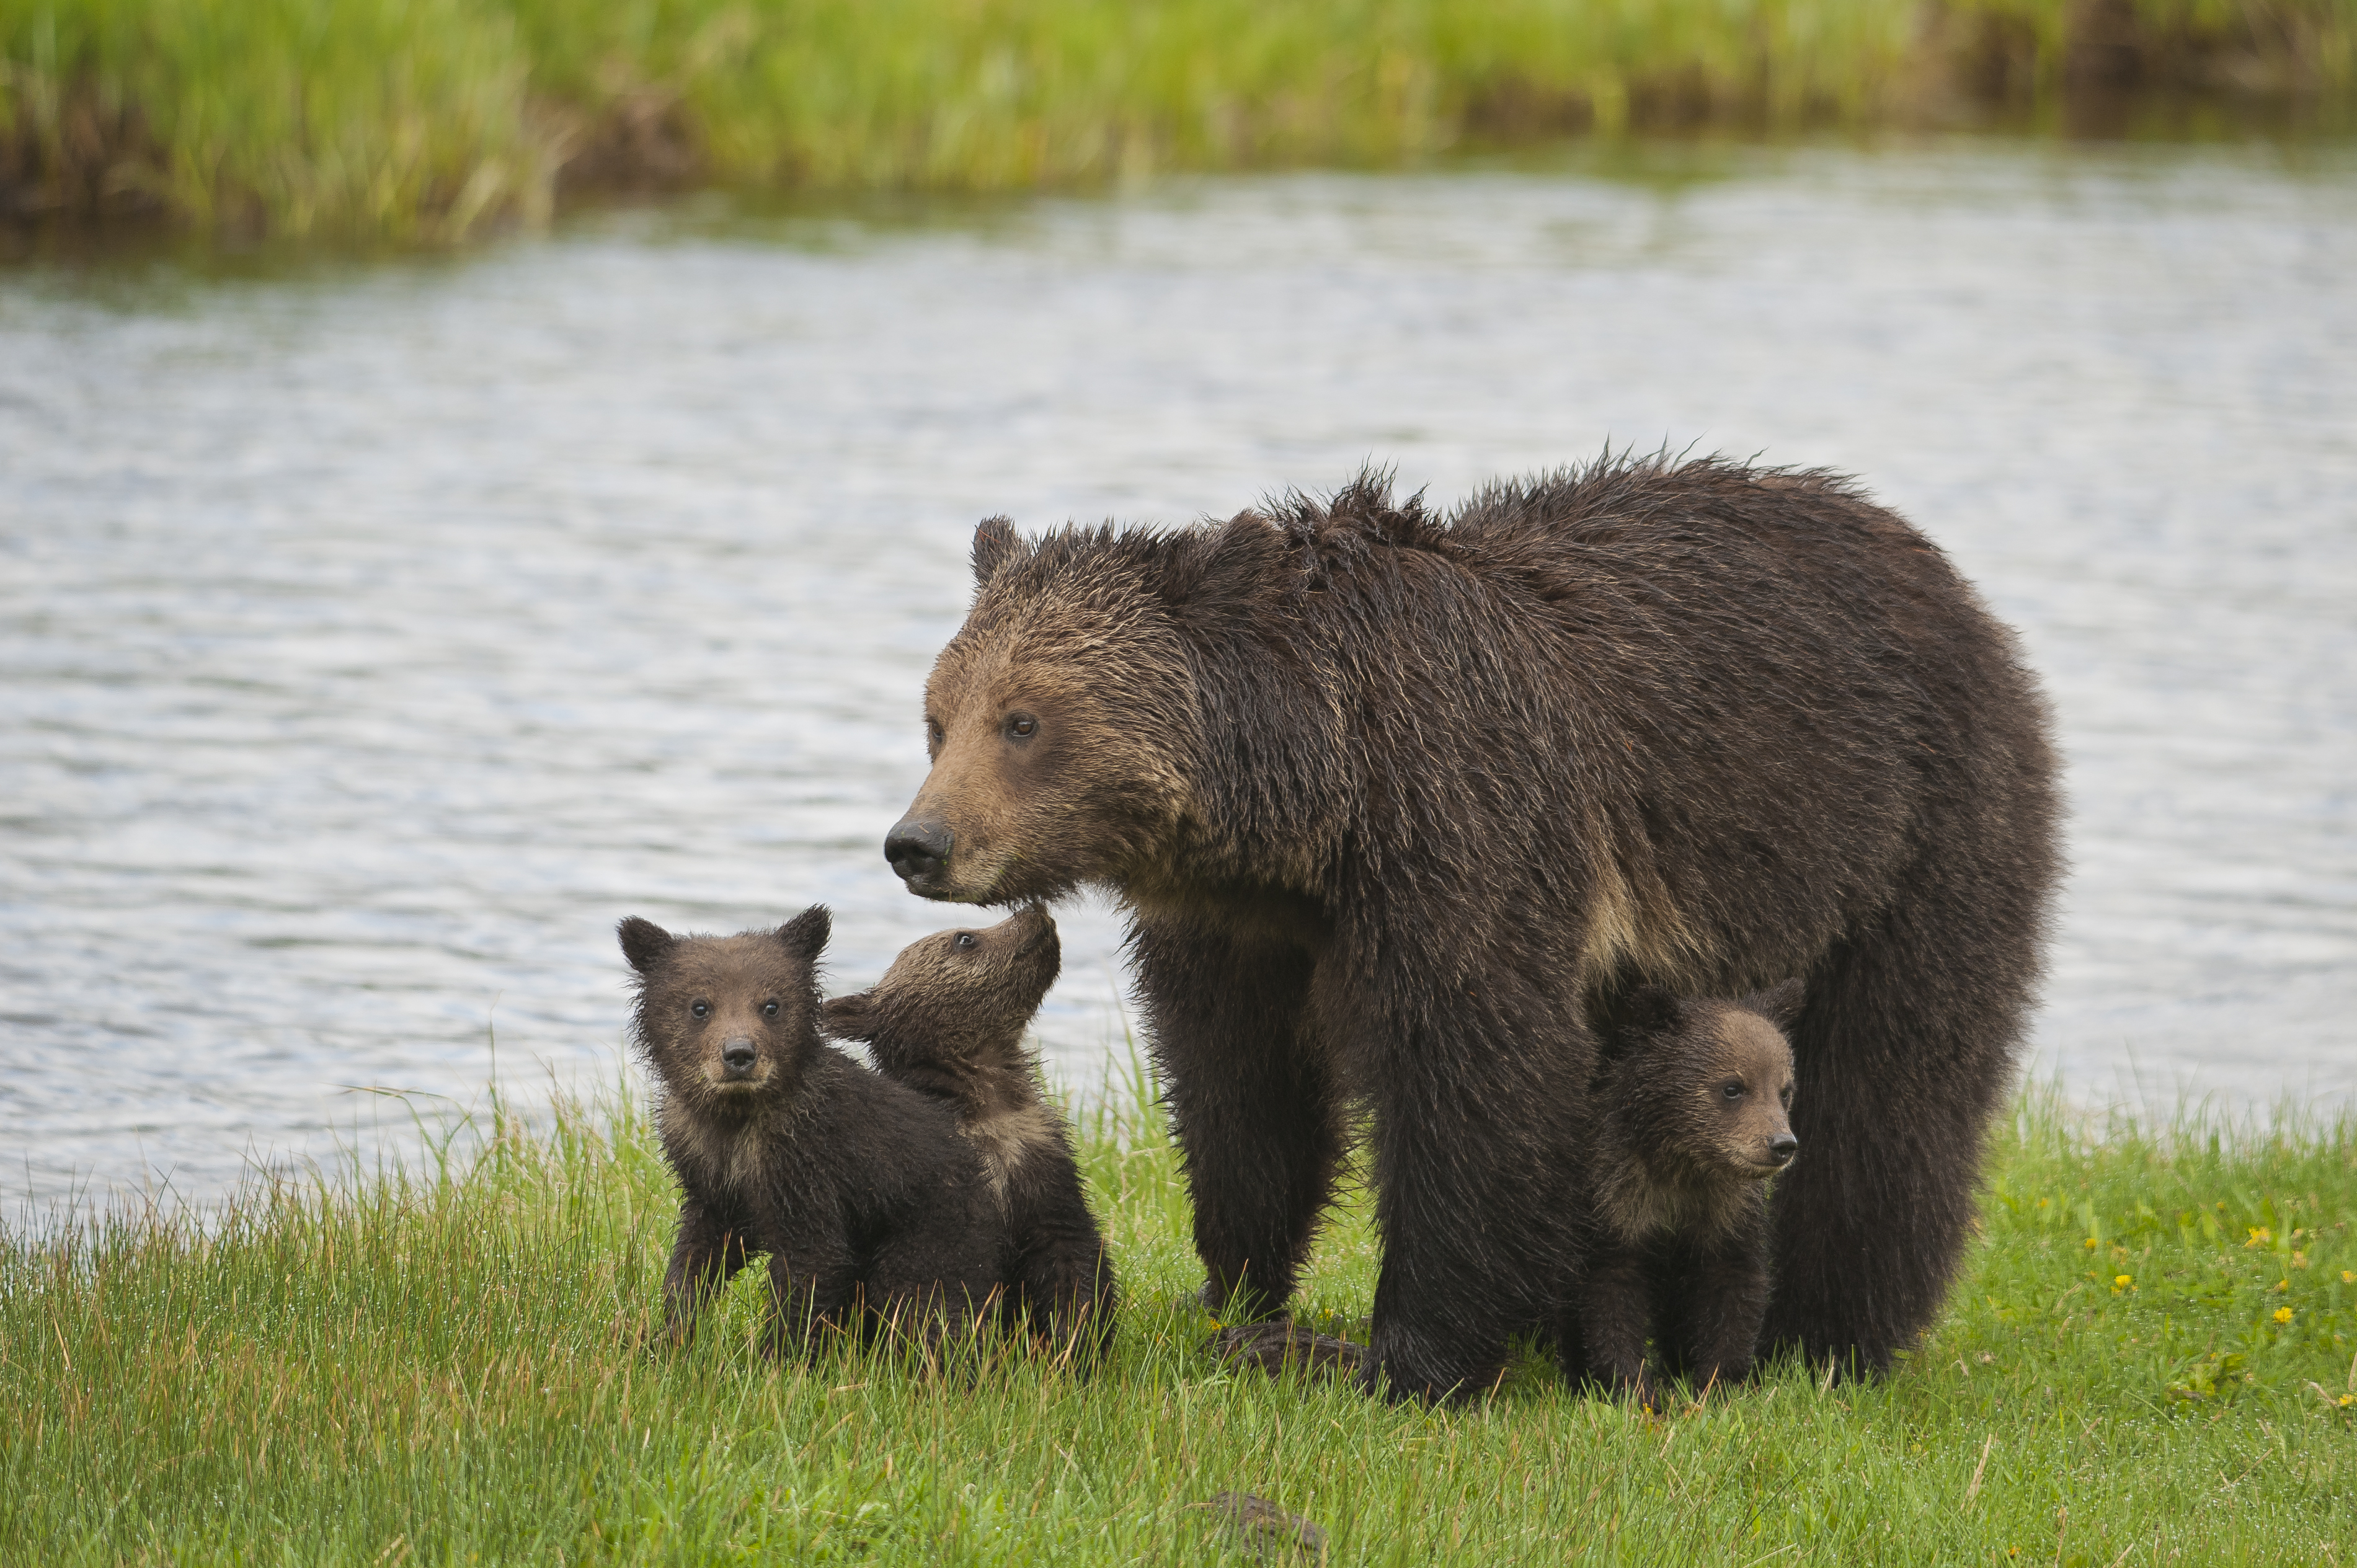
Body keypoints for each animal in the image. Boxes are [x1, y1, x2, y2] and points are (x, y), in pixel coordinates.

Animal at [613, 910, 1008, 1349]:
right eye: (700, 1006)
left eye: (772, 1005)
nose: (739, 1055)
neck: (738, 1117)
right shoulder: (706, 1168)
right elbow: (700, 1253)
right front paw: (670, 1336)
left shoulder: (809, 1163)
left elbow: (814, 1263)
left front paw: (774, 1353)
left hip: (933, 1232)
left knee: (926, 1304)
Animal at [825, 900, 1117, 1367]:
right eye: (965, 937)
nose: (1034, 908)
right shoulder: (936, 1194)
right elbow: (937, 1289)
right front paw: (956, 1360)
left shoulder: (1040, 1168)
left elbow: (1072, 1263)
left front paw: (1073, 1345)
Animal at [1565, 981, 1800, 1405]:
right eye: (1733, 1087)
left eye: (1784, 1090)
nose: (1782, 1144)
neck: (1684, 1164)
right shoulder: (1616, 1199)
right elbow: (1610, 1292)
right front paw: (1636, 1389)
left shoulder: (1728, 1210)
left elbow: (1734, 1288)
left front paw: (1716, 1384)